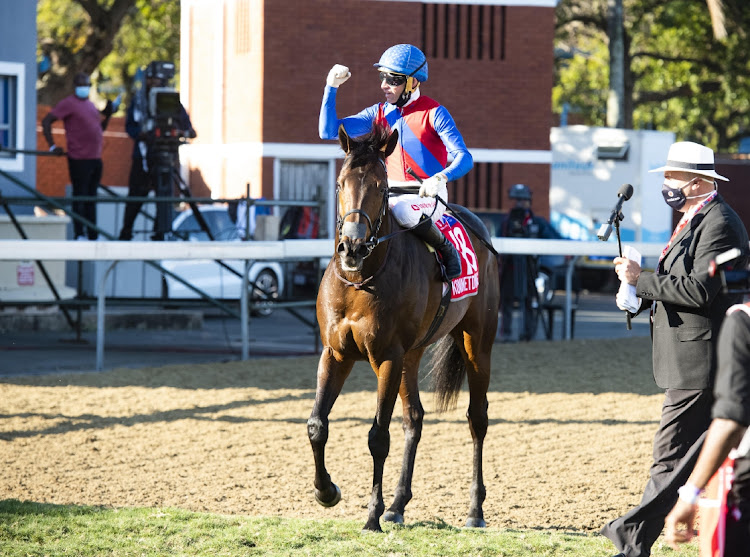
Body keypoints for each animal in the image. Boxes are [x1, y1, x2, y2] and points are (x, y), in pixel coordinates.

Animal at [308, 122, 502, 528]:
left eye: (382, 186)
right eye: (341, 183)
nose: (351, 246)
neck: (360, 280)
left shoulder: (386, 357)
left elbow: (377, 436)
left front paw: (371, 515)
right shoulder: (335, 353)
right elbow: (317, 425)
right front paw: (326, 491)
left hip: (477, 342)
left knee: (477, 418)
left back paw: (474, 510)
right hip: (412, 354)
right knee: (415, 418)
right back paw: (398, 504)